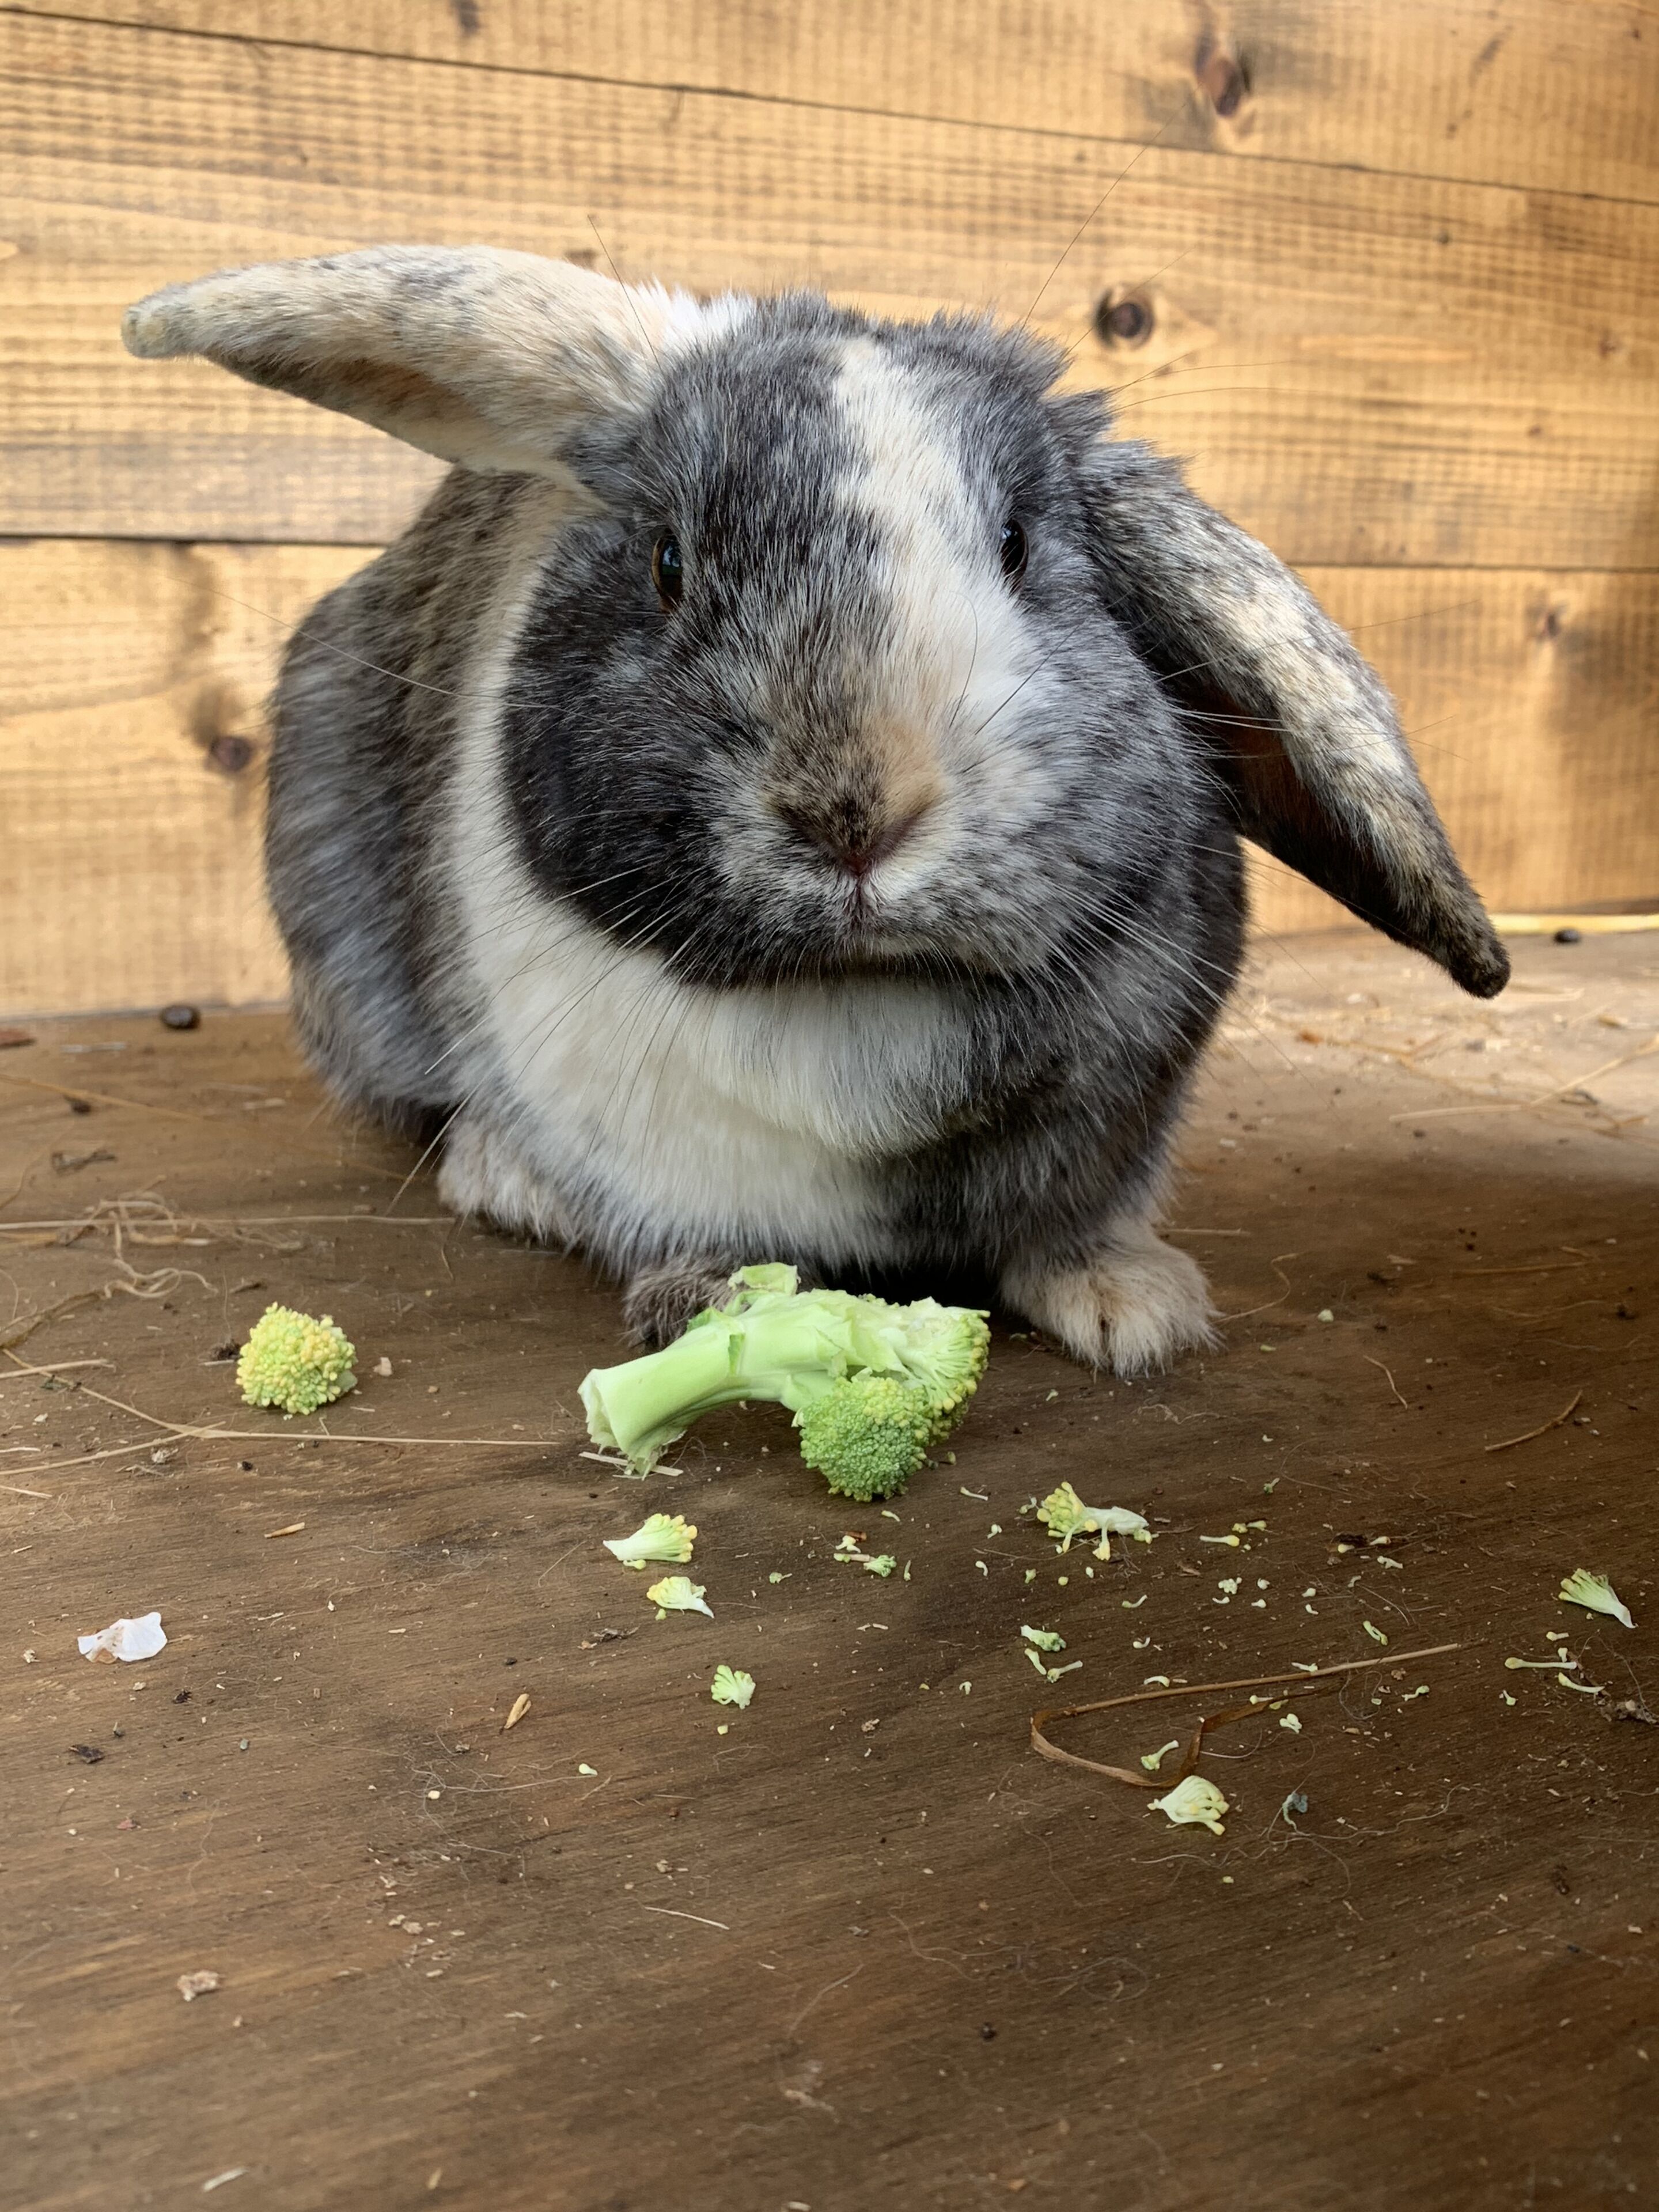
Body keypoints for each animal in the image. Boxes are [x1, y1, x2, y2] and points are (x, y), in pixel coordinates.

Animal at [122, 247, 1508, 1371]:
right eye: (668, 562)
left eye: (1019, 547)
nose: (851, 813)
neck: (851, 1007)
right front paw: (712, 1305)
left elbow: (1075, 1228)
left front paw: (1137, 1310)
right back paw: (508, 1178)